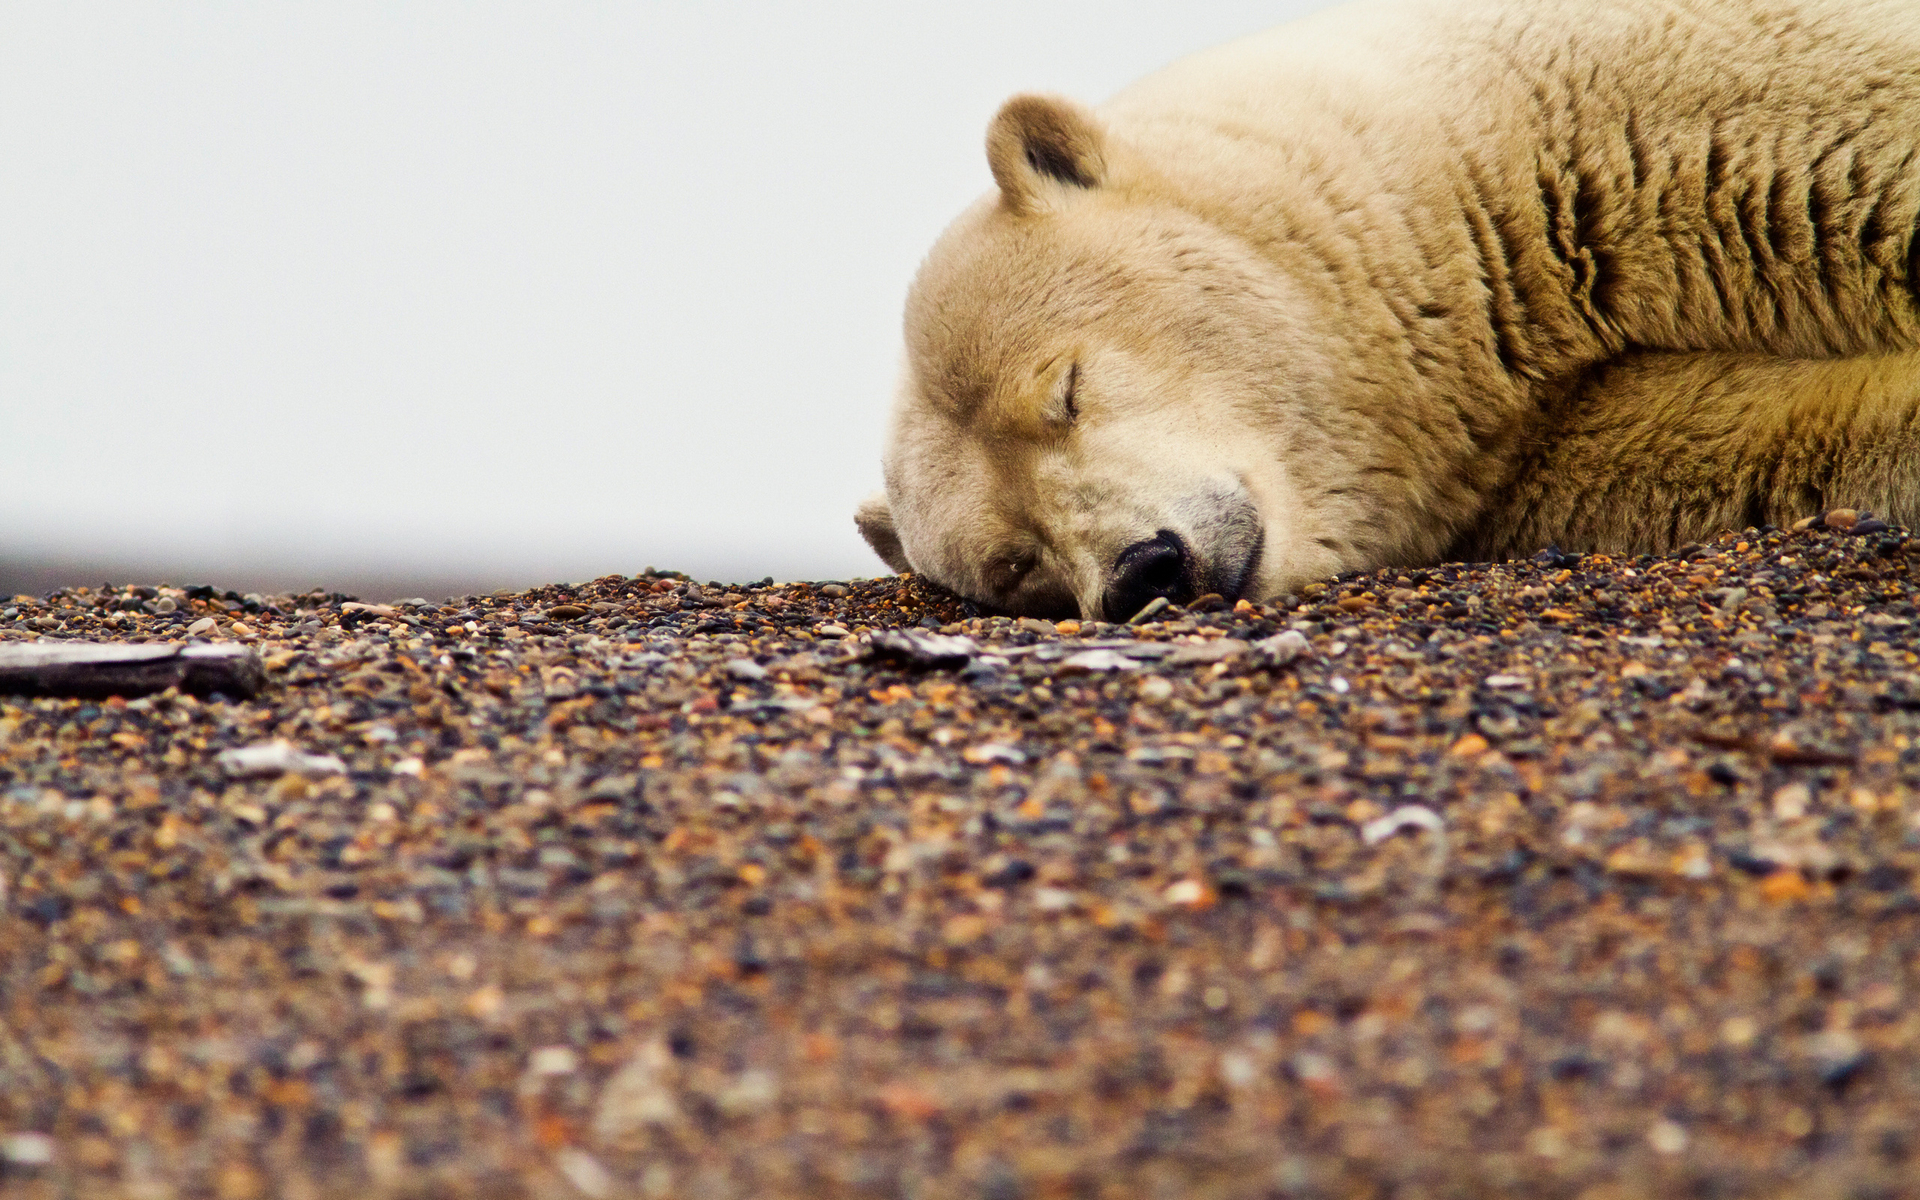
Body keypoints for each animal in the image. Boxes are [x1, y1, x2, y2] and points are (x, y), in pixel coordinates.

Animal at [856, 0, 1920, 618]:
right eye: (1013, 565)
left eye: (1066, 390)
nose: (1141, 570)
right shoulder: (1534, 448)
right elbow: (1756, 437)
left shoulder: (1681, 93)